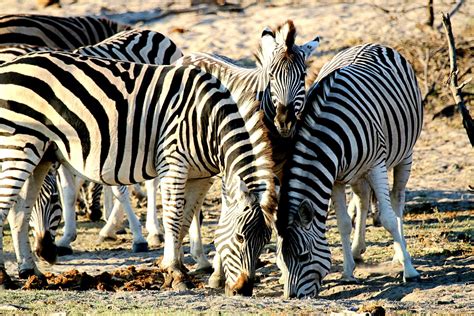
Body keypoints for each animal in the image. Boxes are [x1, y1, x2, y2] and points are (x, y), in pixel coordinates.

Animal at [0, 50, 276, 296]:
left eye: (265, 242)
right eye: (239, 238)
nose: (244, 290)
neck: (209, 123)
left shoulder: (200, 176)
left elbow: (185, 221)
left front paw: (172, 269)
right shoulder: (174, 162)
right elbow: (174, 219)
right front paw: (176, 273)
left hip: (42, 154)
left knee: (20, 213)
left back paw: (31, 272)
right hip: (19, 145)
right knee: (6, 206)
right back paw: (5, 278)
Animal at [176, 19, 320, 276]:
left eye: (303, 76)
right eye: (271, 76)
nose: (285, 121)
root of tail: (189, 55)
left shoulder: (282, 169)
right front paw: (221, 271)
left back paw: (200, 258)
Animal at [276, 43, 424, 298]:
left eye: (304, 256)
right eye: (279, 261)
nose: (292, 298)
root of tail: (372, 44)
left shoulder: (376, 165)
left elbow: (387, 218)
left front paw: (410, 270)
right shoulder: (334, 177)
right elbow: (344, 223)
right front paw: (347, 272)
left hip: (404, 155)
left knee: (397, 200)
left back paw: (400, 254)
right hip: (356, 172)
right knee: (363, 200)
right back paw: (357, 248)